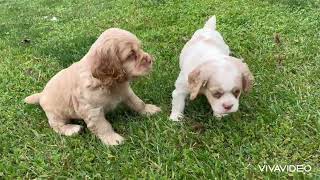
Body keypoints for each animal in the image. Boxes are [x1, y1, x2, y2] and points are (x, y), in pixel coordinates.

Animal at [25, 28, 161, 146]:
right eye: (131, 54)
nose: (150, 60)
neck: (109, 83)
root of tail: (41, 95)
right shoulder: (92, 110)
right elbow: (103, 125)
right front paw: (112, 139)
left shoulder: (125, 92)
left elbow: (138, 102)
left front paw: (149, 109)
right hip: (55, 114)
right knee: (57, 126)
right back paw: (72, 129)